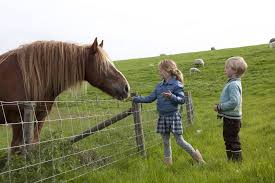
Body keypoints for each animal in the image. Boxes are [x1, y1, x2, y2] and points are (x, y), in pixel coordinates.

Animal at [0, 37, 130, 153]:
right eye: (103, 65)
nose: (126, 88)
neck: (25, 77)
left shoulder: (40, 117)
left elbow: (33, 144)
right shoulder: (17, 120)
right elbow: (15, 148)